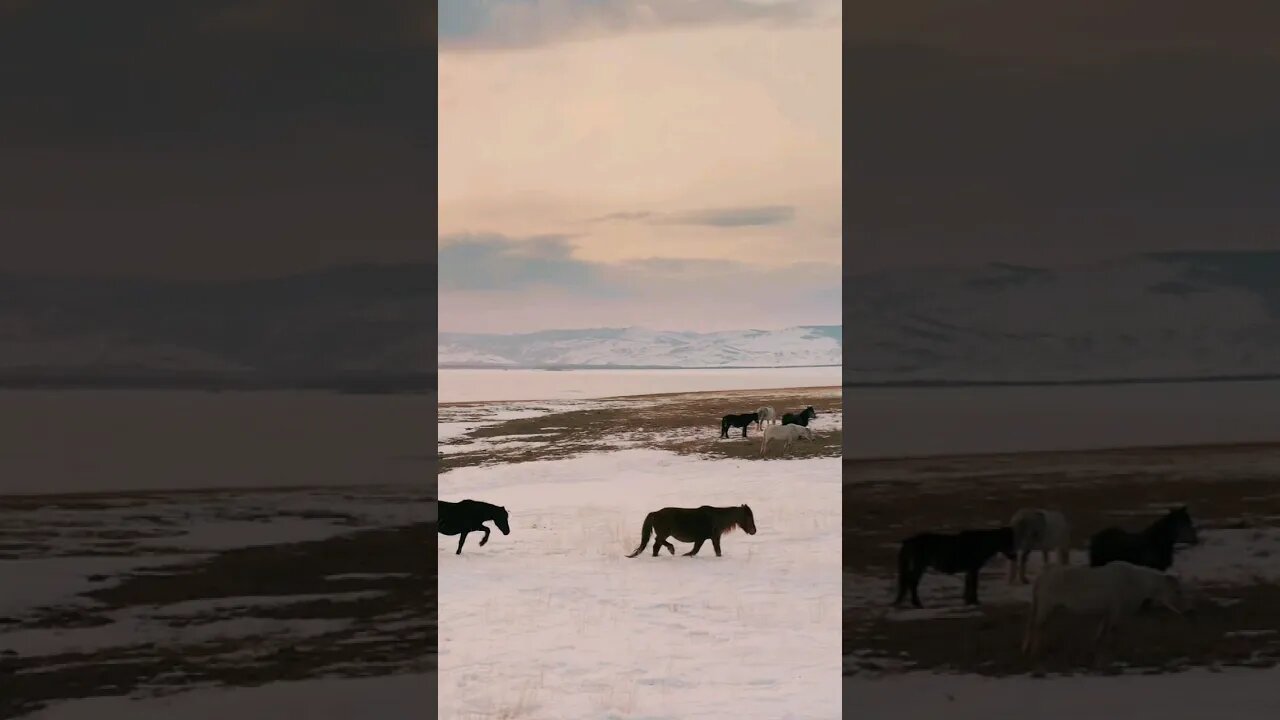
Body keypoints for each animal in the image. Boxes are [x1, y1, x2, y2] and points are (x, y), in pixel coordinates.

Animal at [625, 504, 756, 558]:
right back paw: (671, 549)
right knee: (657, 542)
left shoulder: (707, 539)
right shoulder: (707, 538)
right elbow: (696, 551)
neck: (717, 519)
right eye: (748, 516)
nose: (754, 531)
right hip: (664, 533)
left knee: (656, 546)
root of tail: (655, 513)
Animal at [1022, 561, 1189, 661]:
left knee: (1039, 626)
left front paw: (1097, 646)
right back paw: (1035, 652)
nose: (1186, 610)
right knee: (1037, 626)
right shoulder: (1116, 609)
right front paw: (1112, 650)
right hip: (1046, 605)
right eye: (1178, 591)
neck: (1138, 582)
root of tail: (1041, 577)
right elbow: (1112, 629)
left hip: (1048, 608)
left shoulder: (1108, 611)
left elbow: (1102, 629)